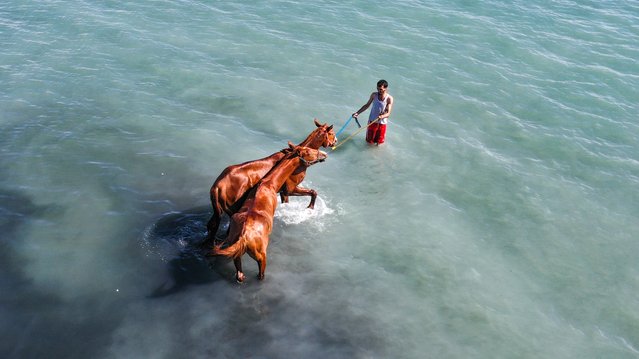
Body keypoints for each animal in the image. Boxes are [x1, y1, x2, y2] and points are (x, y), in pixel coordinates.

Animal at [206, 119, 338, 243]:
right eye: (331, 133)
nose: (335, 141)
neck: (296, 161)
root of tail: (217, 186)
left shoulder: (283, 192)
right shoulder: (290, 189)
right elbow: (313, 192)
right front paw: (310, 208)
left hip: (219, 210)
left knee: (212, 225)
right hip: (234, 208)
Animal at [211, 142, 330, 282]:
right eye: (309, 151)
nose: (325, 154)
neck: (269, 184)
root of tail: (243, 237)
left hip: (237, 255)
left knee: (239, 275)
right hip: (261, 256)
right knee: (260, 275)